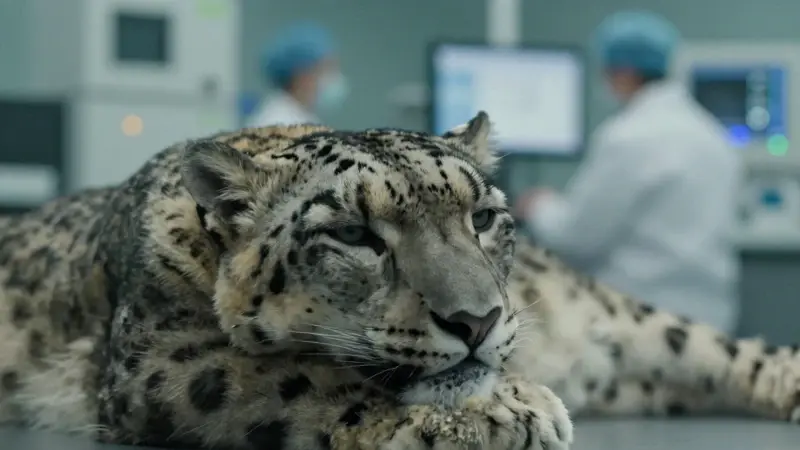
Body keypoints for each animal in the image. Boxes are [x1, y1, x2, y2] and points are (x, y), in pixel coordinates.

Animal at [0, 111, 797, 450]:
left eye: (482, 216)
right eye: (354, 234)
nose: (476, 320)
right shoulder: (161, 359)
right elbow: (301, 379)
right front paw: (499, 409)